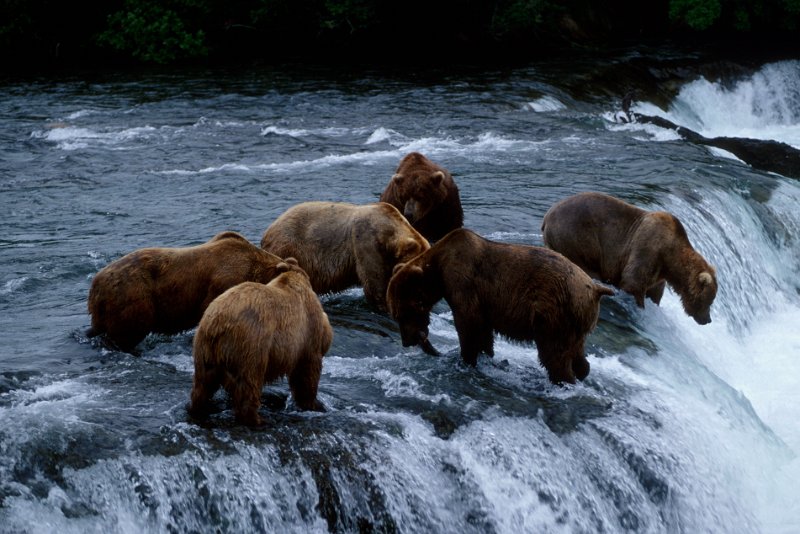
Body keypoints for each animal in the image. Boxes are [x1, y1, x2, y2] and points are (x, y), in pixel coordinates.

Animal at [188, 260, 332, 428]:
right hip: (252, 344)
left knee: (202, 385)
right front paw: (314, 404)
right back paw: (258, 420)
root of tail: (216, 324)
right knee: (249, 384)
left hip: (203, 349)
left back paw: (198, 409)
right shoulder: (307, 335)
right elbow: (307, 373)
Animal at [386, 227, 612, 386]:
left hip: (554, 313)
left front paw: (466, 359)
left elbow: (468, 324)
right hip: (577, 321)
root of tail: (594, 289)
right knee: (577, 352)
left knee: (554, 354)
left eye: (402, 313)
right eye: (396, 314)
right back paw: (582, 371)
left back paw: (563, 381)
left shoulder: (463, 283)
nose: (407, 341)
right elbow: (484, 332)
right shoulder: (484, 304)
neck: (438, 270)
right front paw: (486, 355)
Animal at [540, 193, 716, 326]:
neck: (670, 258)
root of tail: (547, 216)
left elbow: (654, 292)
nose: (707, 319)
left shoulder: (658, 273)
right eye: (710, 300)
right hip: (576, 238)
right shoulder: (648, 249)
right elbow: (633, 282)